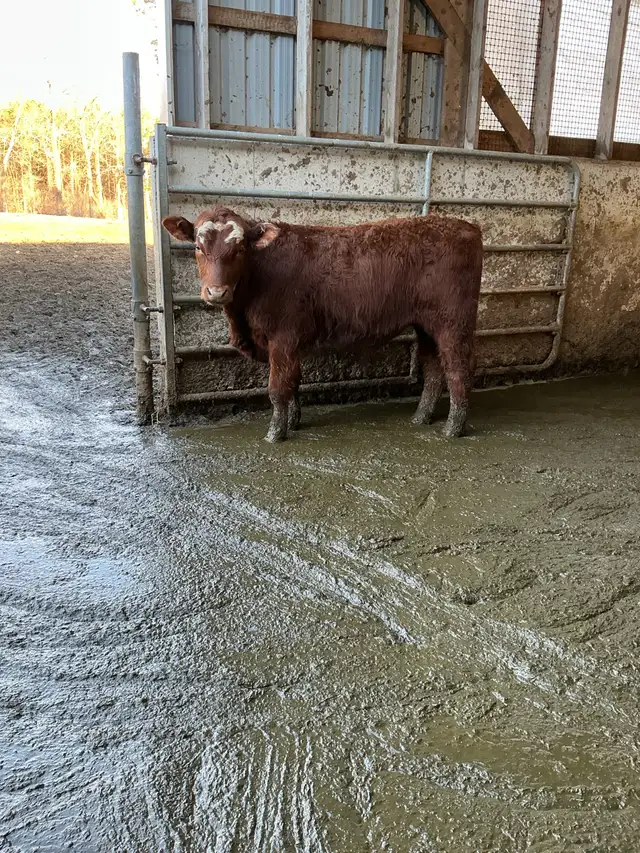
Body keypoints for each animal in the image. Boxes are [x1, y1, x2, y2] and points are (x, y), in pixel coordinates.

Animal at [162, 207, 483, 443]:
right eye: (198, 246)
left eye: (240, 248)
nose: (217, 292)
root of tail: (466, 226)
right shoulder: (287, 344)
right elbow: (293, 383)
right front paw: (293, 421)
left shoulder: (283, 338)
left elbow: (277, 388)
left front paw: (274, 435)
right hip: (426, 325)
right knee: (433, 369)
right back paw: (421, 417)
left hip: (453, 323)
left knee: (458, 370)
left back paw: (453, 428)